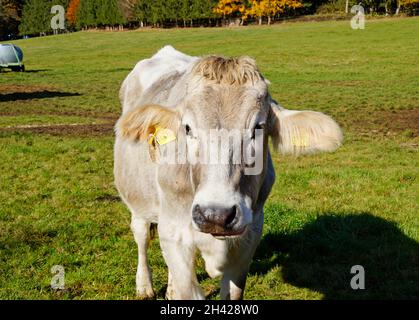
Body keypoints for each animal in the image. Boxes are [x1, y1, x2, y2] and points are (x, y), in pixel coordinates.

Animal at [113, 45, 342, 300]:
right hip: (138, 201)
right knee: (142, 236)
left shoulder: (249, 237)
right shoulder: (174, 233)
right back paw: (144, 286)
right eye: (187, 128)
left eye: (258, 127)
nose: (216, 215)